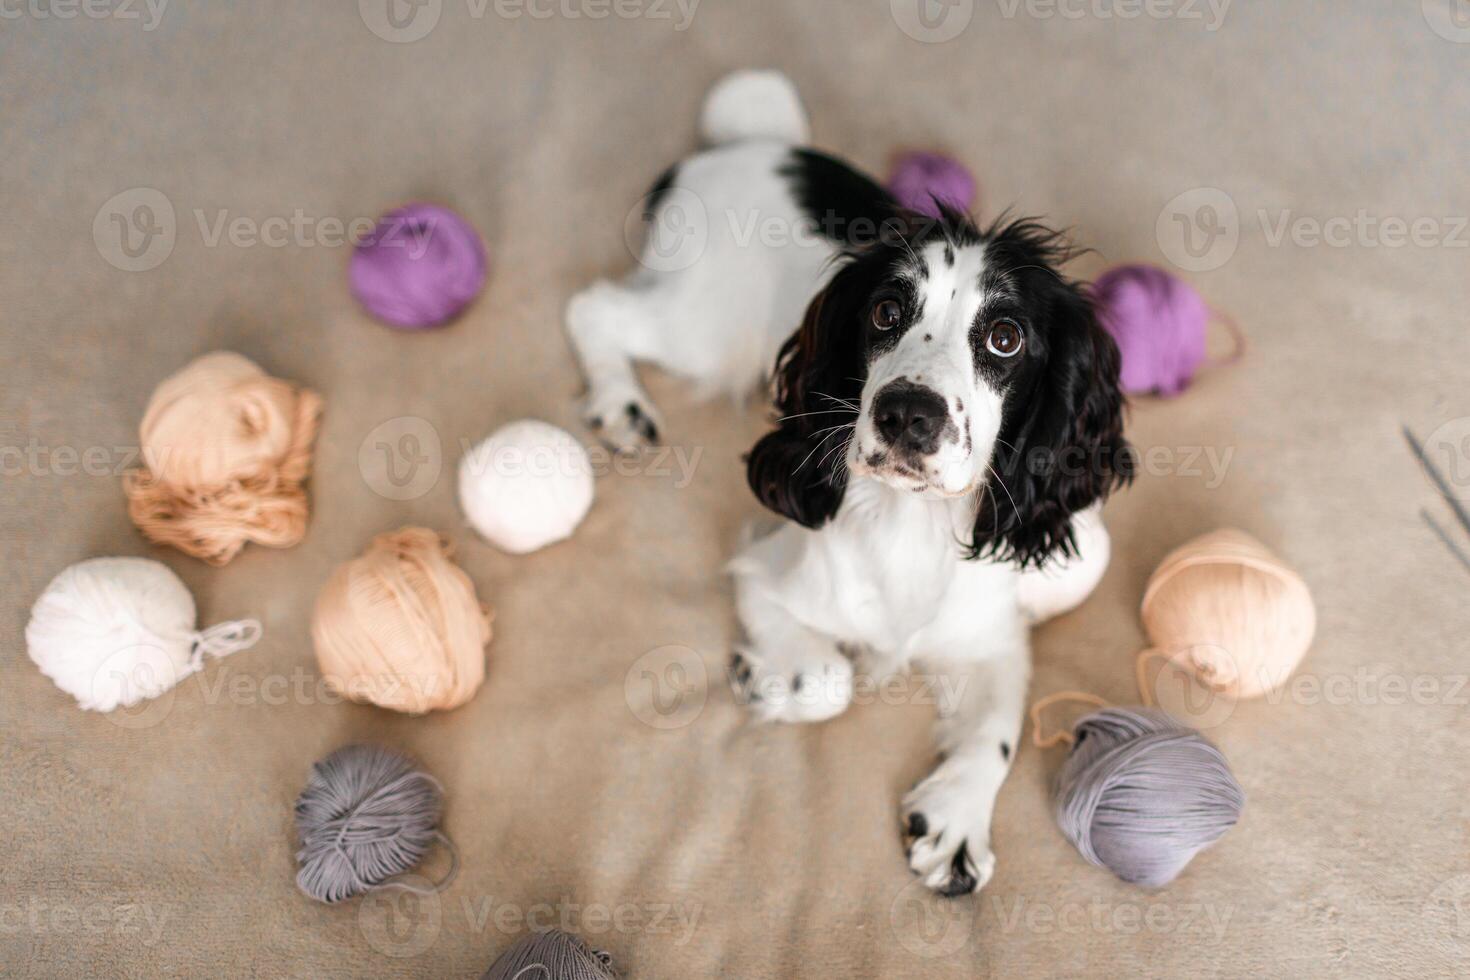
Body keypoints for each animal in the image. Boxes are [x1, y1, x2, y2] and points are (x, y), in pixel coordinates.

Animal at [567, 69, 1128, 899]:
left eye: (1005, 337)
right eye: (886, 310)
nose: (907, 415)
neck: (911, 526)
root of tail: (753, 145)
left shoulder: (991, 633)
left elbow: (998, 727)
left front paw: (956, 825)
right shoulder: (767, 570)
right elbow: (828, 679)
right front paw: (763, 678)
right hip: (707, 326)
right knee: (596, 311)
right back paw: (620, 404)